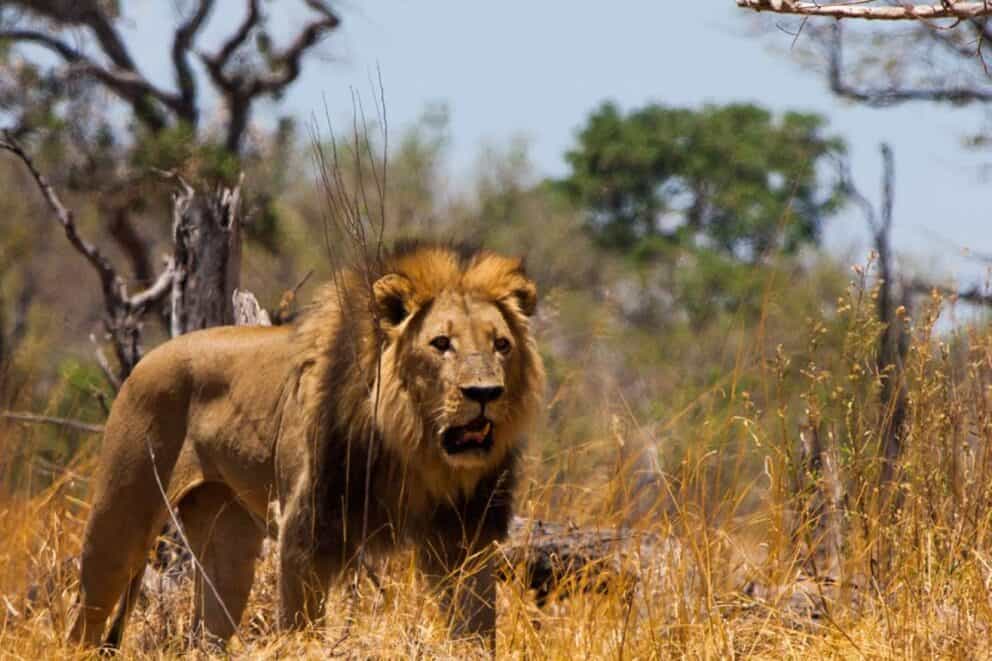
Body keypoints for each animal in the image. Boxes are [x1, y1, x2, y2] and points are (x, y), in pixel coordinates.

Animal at [67, 242, 545, 652]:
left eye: (502, 345)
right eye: (441, 344)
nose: (485, 392)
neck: (413, 447)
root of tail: (145, 358)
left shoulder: (466, 534)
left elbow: (477, 626)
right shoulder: (308, 530)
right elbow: (301, 624)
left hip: (226, 539)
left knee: (206, 630)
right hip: (121, 517)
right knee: (85, 621)